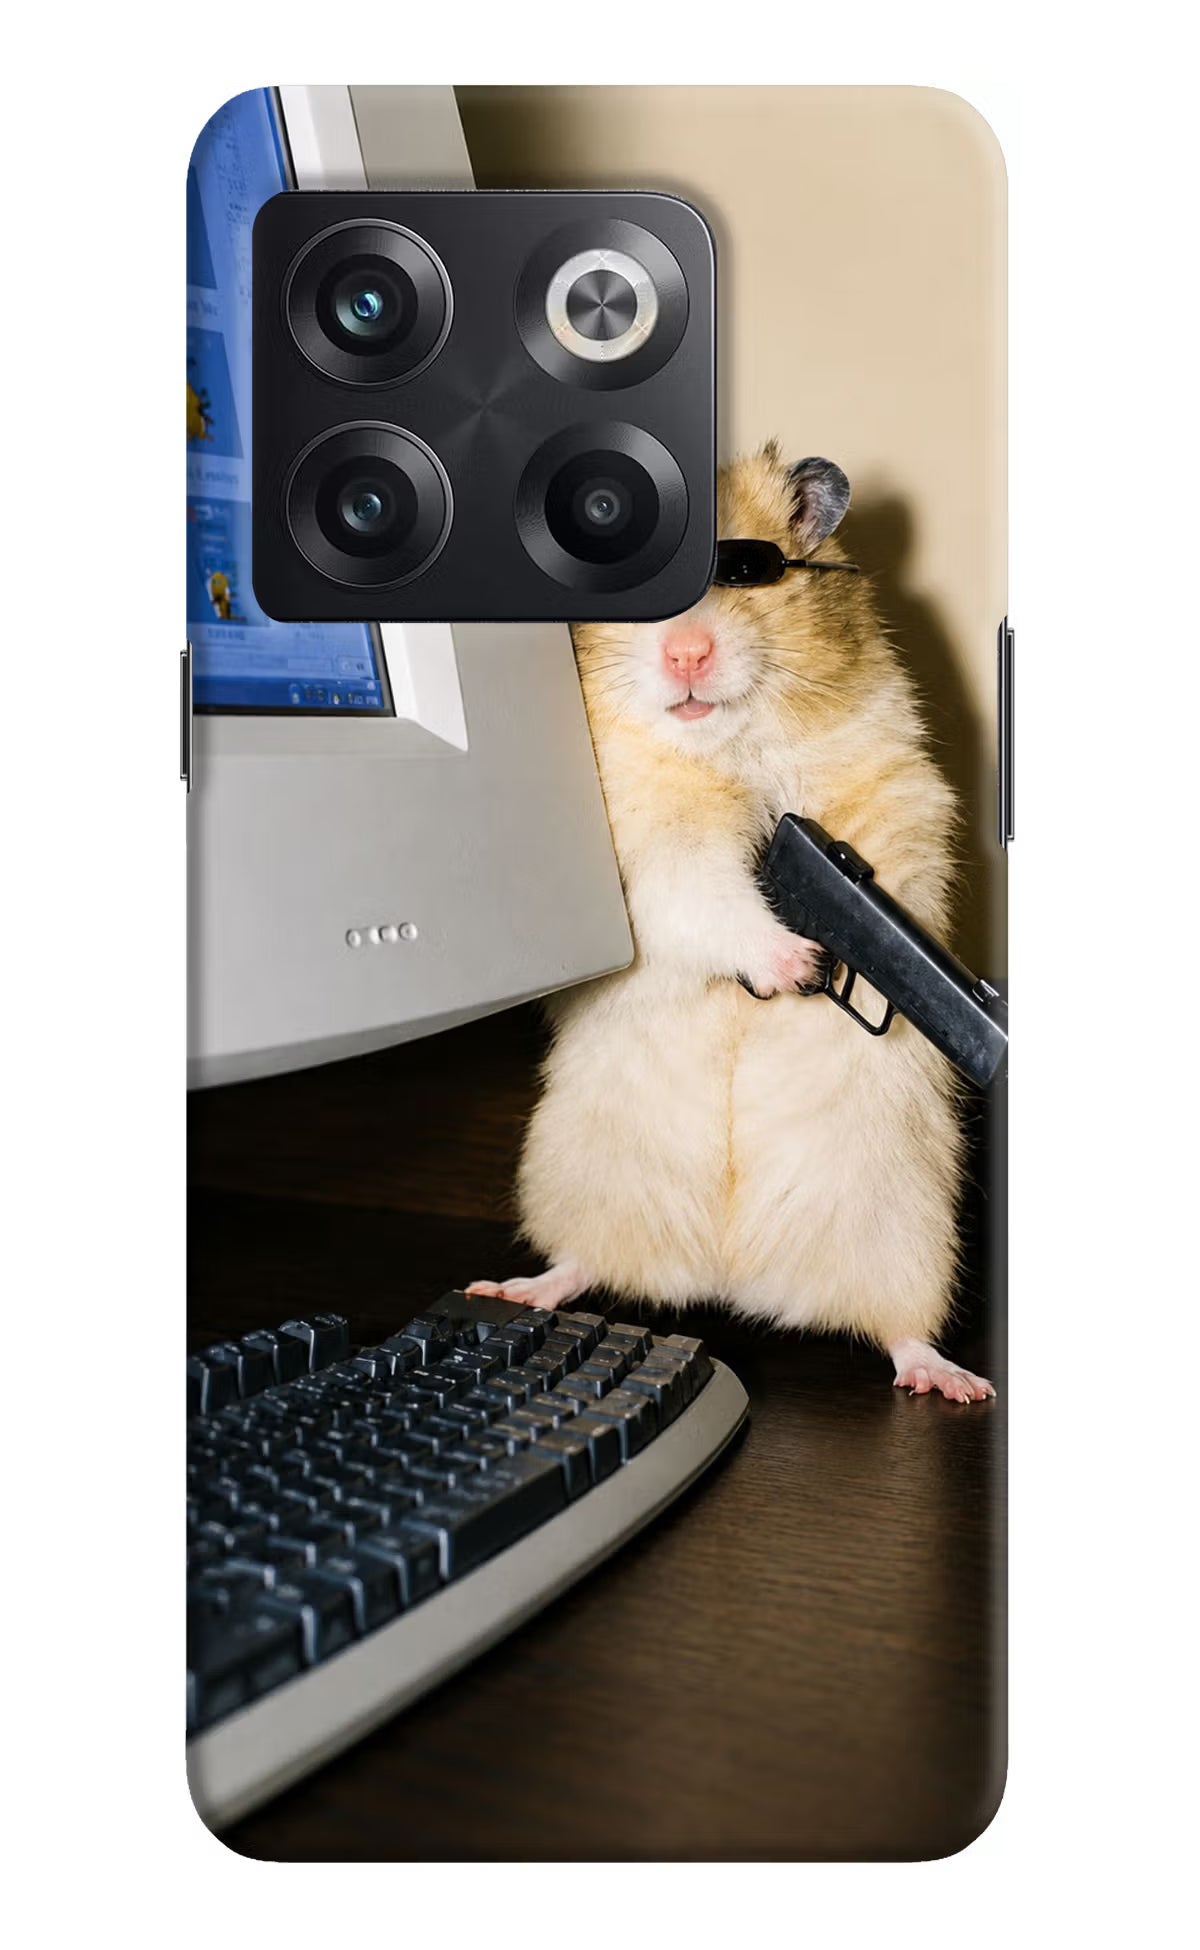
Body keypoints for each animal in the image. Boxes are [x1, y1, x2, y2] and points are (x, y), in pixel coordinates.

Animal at [469, 443, 994, 1403]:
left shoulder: (896, 792)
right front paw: (797, 964)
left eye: (749, 574)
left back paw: (953, 1381)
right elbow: (707, 896)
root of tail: (730, 1276)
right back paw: (514, 1288)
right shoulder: (650, 850)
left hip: (908, 1230)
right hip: (579, 1176)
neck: (729, 746)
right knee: (582, 1263)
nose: (686, 652)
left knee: (900, 1329)